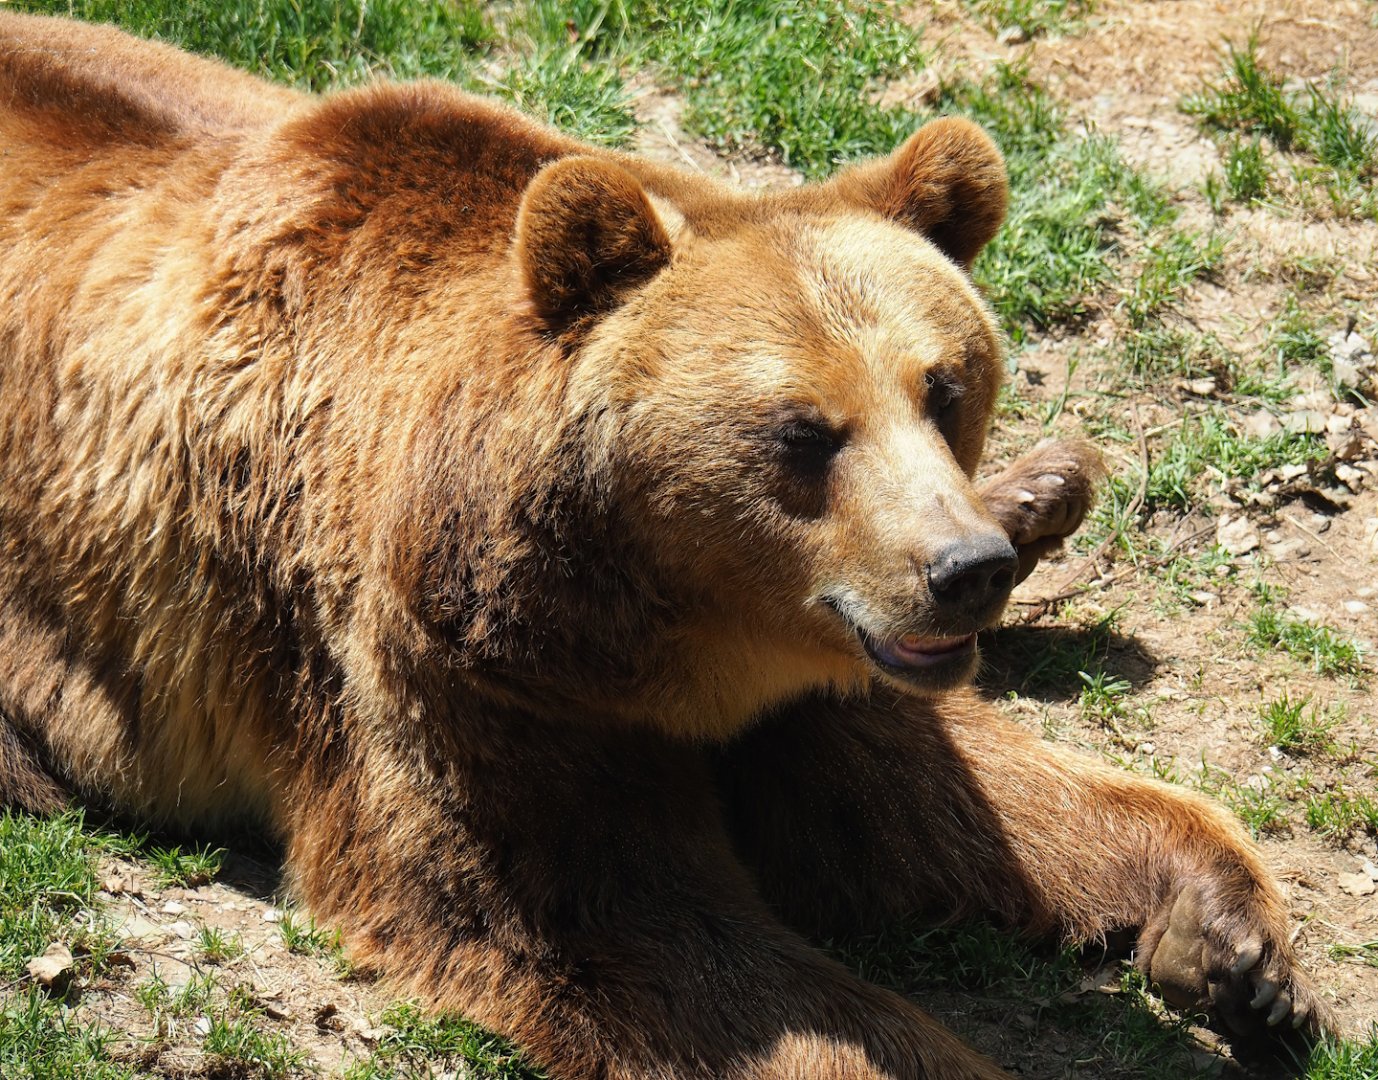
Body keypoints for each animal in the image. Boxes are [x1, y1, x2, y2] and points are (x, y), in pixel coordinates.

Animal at [0, 11, 1332, 1078]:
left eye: (945, 384)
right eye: (804, 430)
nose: (964, 573)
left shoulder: (805, 666)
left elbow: (951, 799)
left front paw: (1236, 950)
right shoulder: (454, 685)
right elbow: (632, 928)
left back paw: (1043, 494)